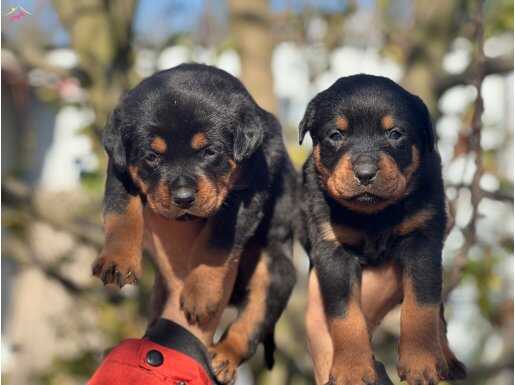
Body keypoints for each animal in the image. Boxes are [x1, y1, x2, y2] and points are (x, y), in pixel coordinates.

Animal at [90, 63, 296, 384]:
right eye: (152, 156)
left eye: (209, 152)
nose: (184, 197)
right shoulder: (121, 168)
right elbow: (120, 212)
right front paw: (117, 260)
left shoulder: (251, 188)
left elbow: (218, 240)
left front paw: (201, 292)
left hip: (275, 267)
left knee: (252, 320)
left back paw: (224, 357)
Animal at [298, 75, 468, 384]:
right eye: (336, 135)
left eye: (395, 134)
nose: (365, 173)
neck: (374, 216)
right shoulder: (332, 249)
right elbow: (345, 313)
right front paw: (352, 369)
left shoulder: (423, 239)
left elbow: (422, 305)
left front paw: (421, 362)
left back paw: (447, 360)